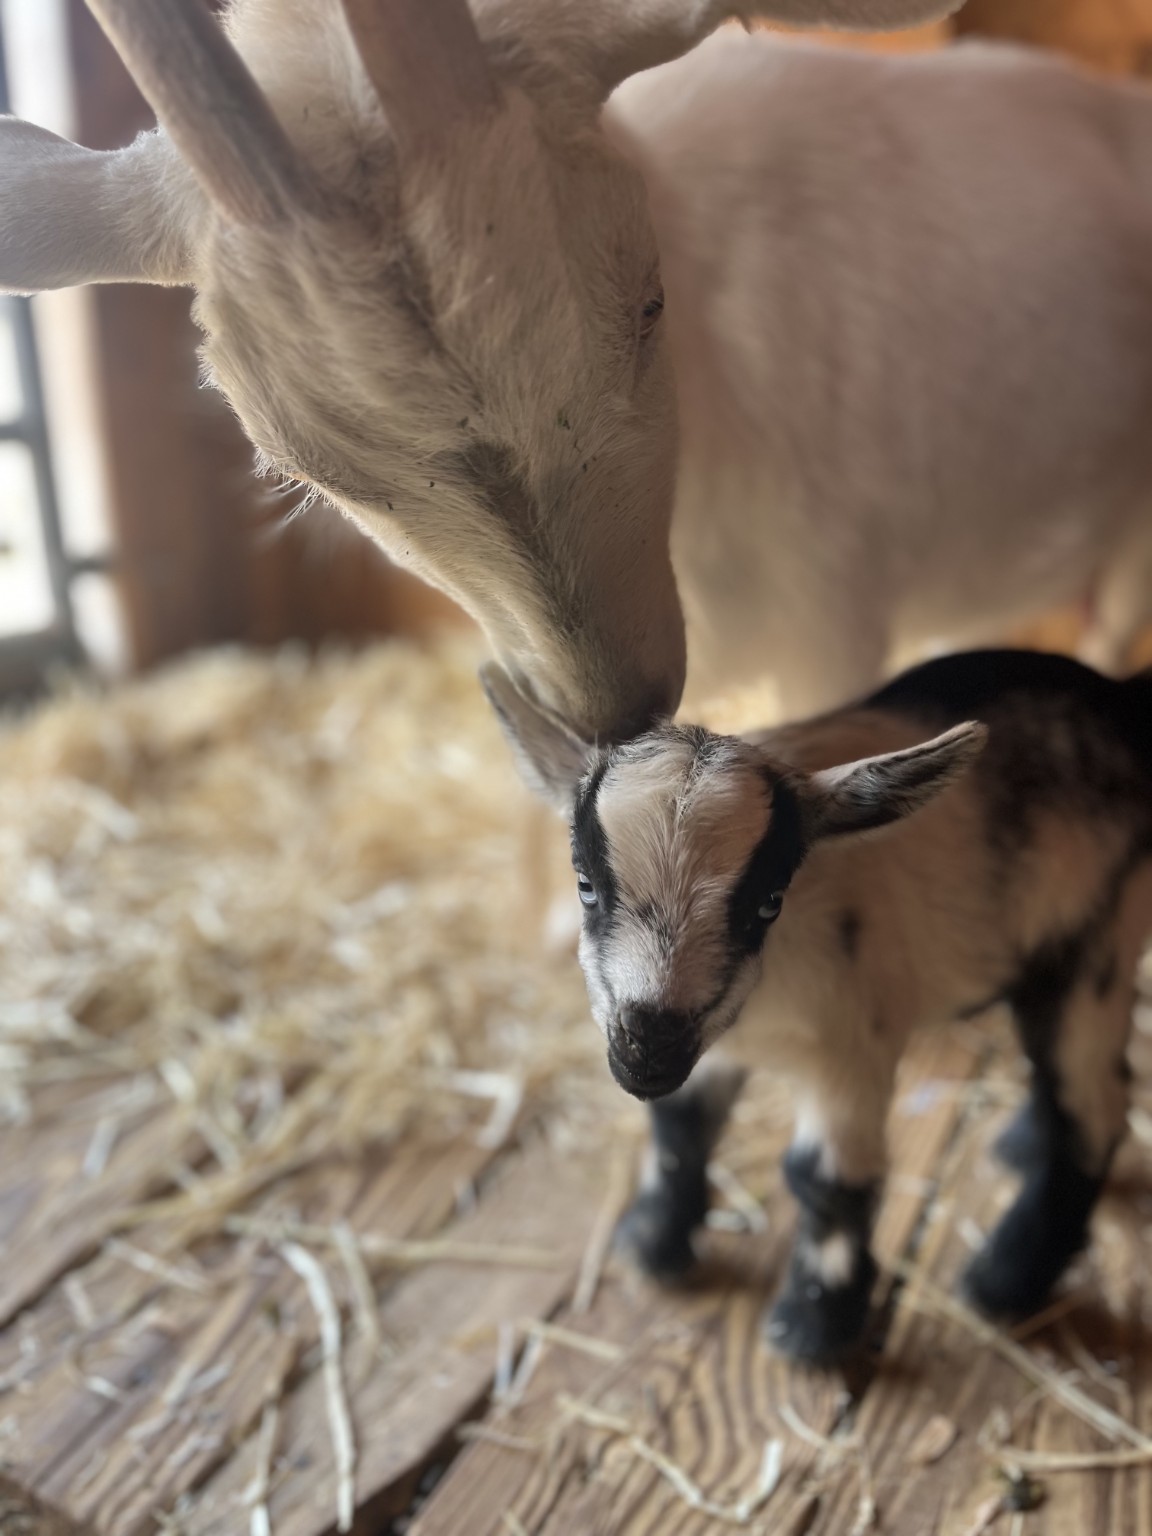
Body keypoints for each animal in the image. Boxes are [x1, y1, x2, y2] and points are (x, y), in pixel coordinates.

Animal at [563, 650, 1152, 1363]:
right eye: (586, 883)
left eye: (768, 901)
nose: (644, 1053)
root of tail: (1123, 703)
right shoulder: (708, 1044)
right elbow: (679, 1127)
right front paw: (650, 1246)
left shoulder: (847, 1045)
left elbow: (823, 1178)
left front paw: (813, 1328)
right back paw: (1020, 1147)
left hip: (1097, 940)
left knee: (1093, 1107)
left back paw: (1004, 1282)